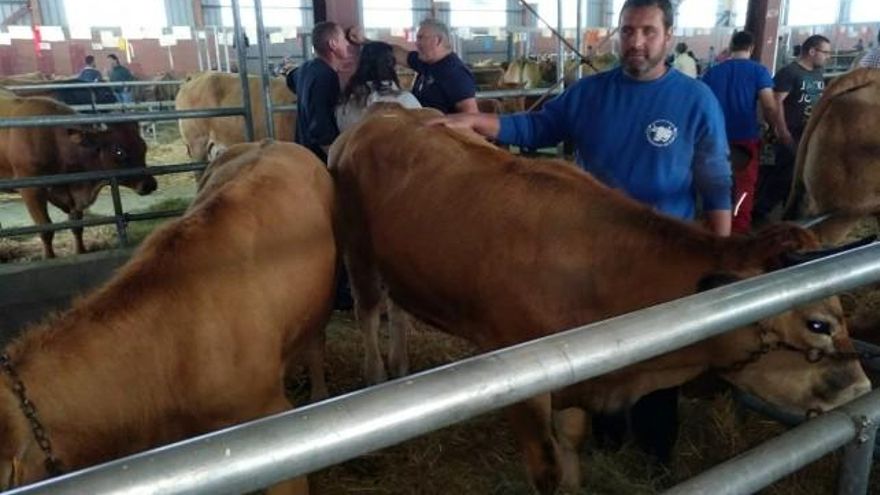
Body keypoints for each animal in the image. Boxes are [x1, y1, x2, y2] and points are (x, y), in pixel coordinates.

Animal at [0, 96, 157, 258]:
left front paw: (81, 251)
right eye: (119, 151)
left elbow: (77, 226)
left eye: (143, 146)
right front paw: (50, 258)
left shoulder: (73, 193)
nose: (149, 184)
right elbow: (46, 230)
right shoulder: (32, 191)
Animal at [329, 107, 871, 494]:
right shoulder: (521, 386)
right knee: (368, 312)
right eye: (819, 324)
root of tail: (380, 113)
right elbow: (547, 469)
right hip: (357, 251)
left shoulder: (577, 382)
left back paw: (401, 367)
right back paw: (375, 377)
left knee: (397, 309)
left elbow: (571, 448)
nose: (863, 386)